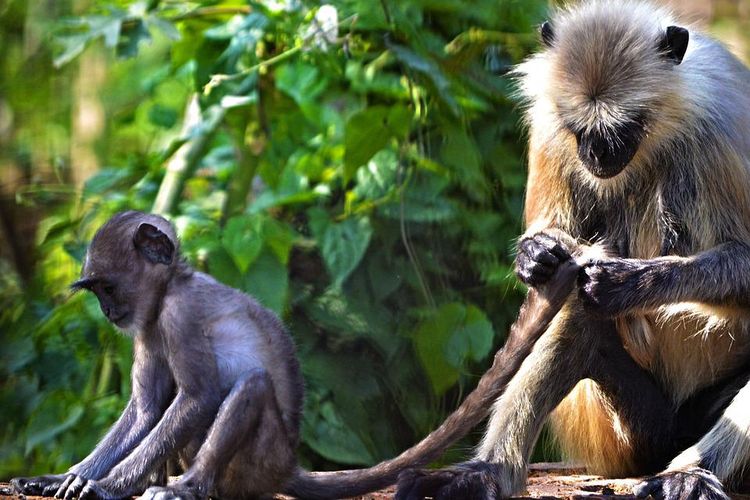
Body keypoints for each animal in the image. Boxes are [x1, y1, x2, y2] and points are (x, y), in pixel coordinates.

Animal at [402, 0, 750, 500]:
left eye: (625, 126)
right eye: (579, 127)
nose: (598, 155)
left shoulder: (718, 134)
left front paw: (631, 281)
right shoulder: (550, 126)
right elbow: (556, 261)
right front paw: (536, 254)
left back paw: (689, 472)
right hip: (631, 432)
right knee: (573, 303)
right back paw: (488, 471)